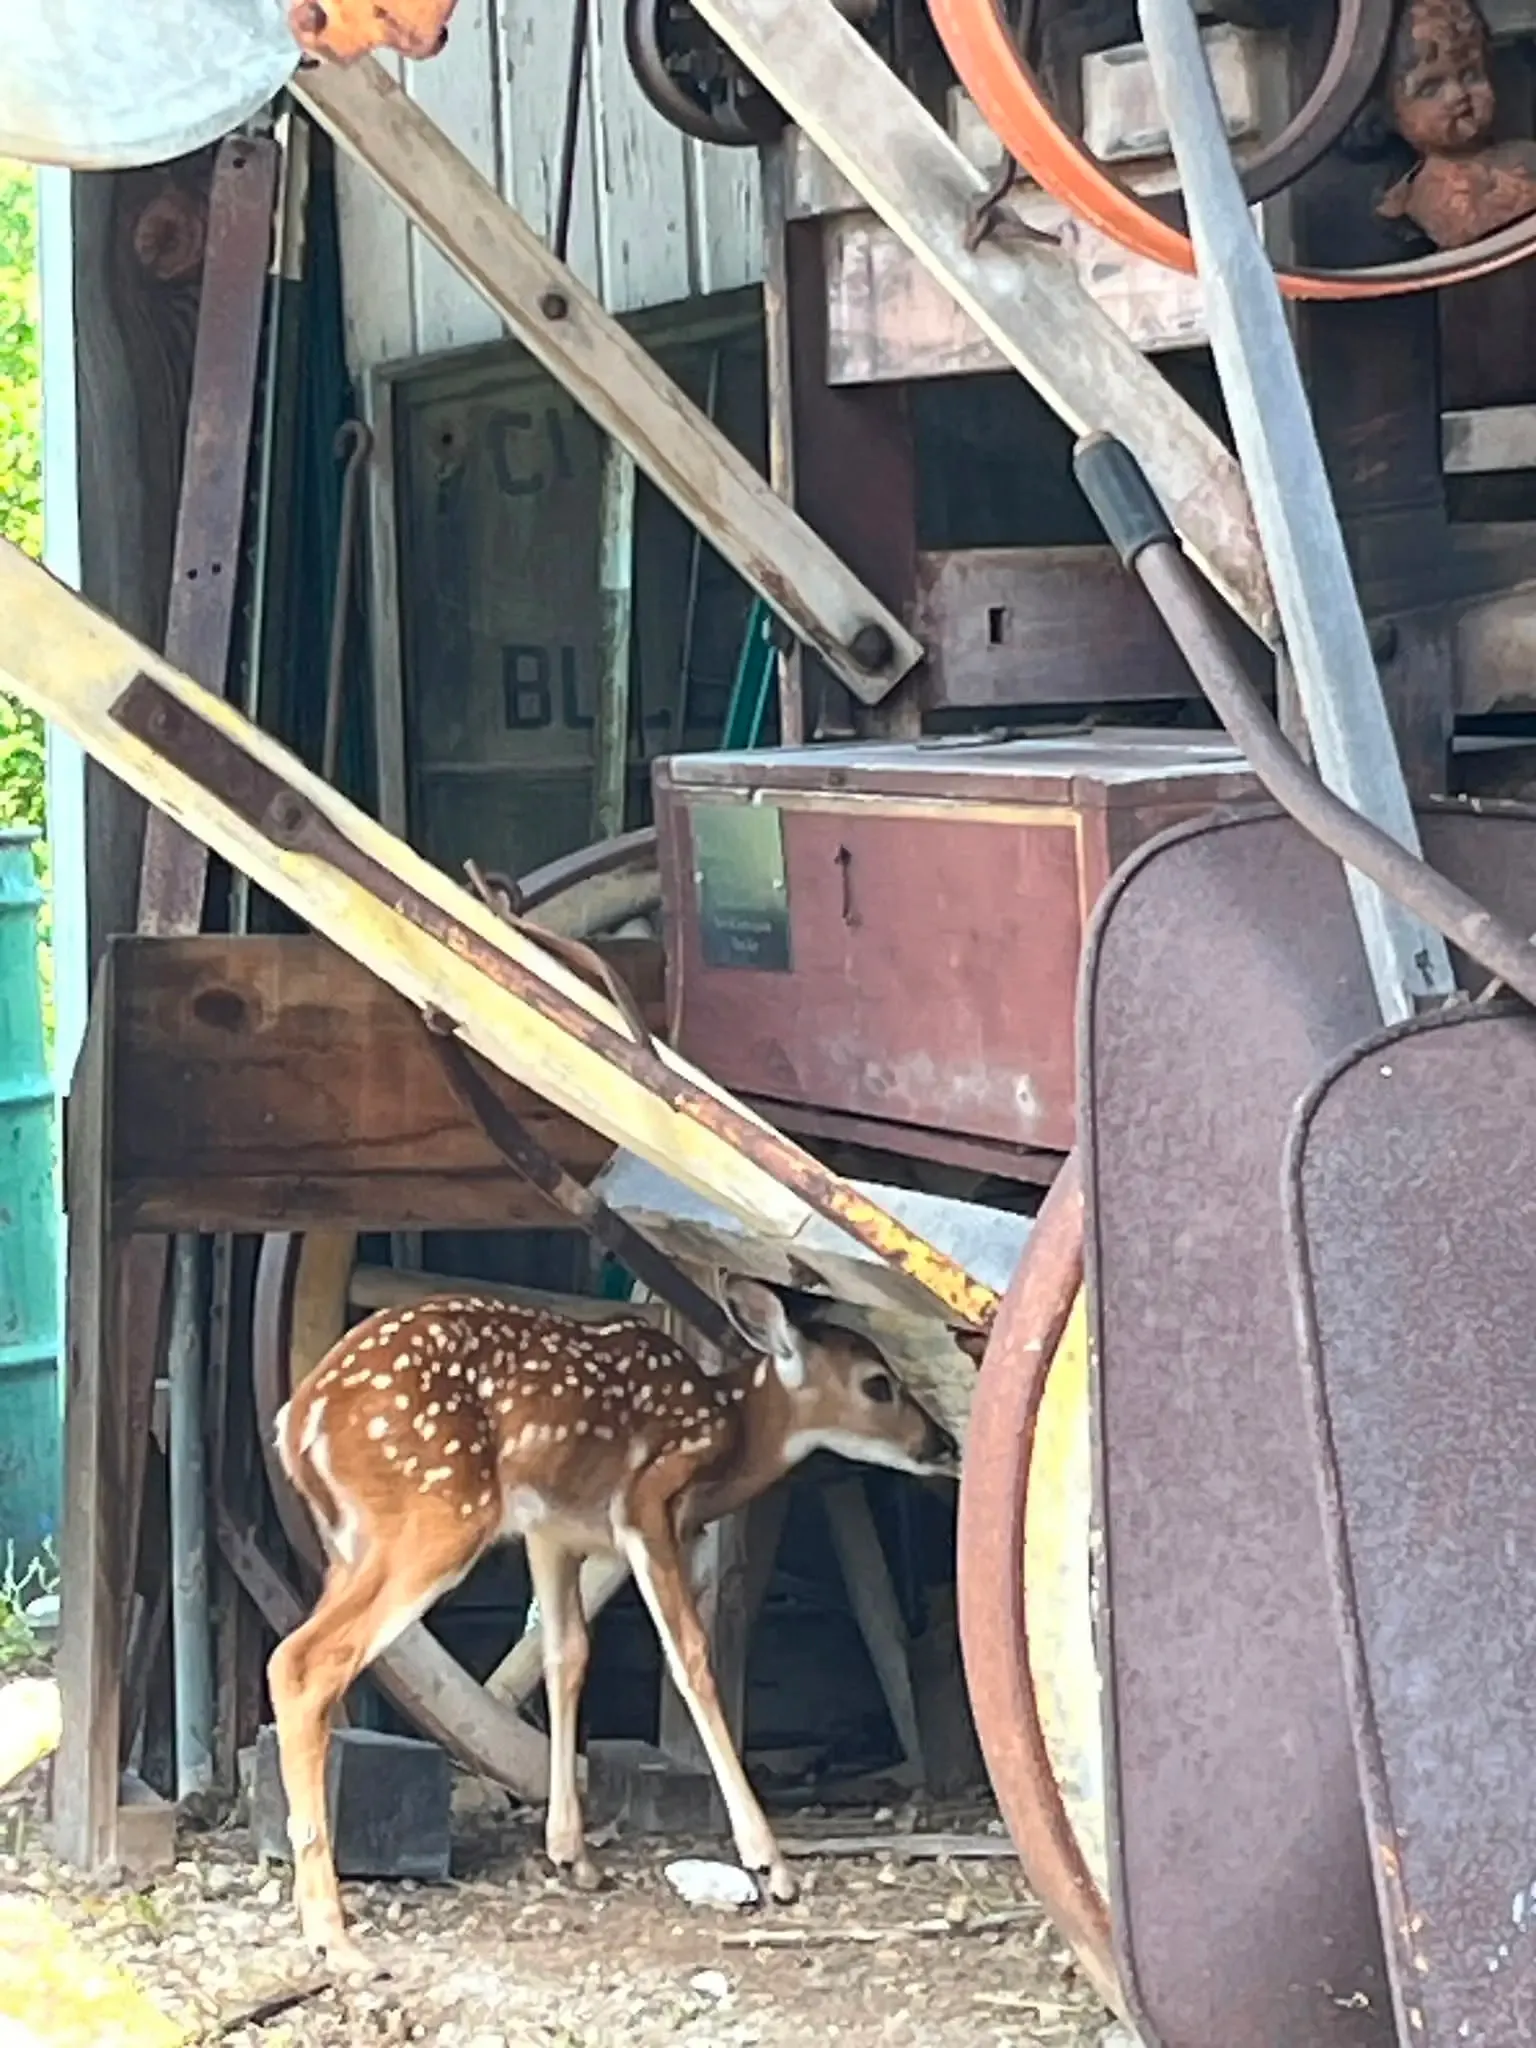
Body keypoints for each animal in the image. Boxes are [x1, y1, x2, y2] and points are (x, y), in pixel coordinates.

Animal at [267, 1275, 960, 1968]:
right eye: (878, 1383)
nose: (943, 1444)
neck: (729, 1430)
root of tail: (298, 1423)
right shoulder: (648, 1503)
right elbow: (690, 1654)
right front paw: (771, 1864)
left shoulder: (551, 1532)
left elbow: (564, 1654)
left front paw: (572, 1855)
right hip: (440, 1513)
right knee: (306, 1660)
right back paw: (331, 1934)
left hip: (353, 1546)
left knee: (298, 1655)